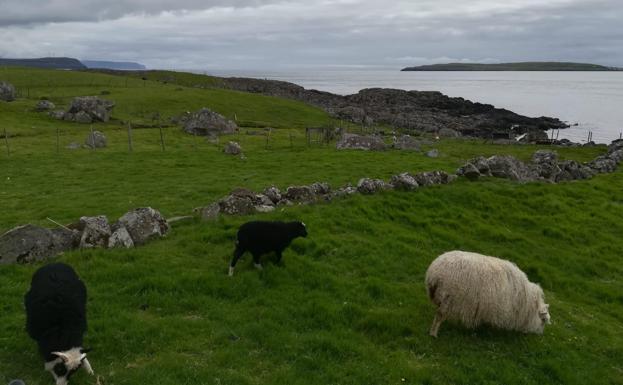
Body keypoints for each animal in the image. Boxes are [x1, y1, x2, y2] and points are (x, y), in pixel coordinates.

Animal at [424, 249, 552, 336]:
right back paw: (433, 333)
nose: (540, 334)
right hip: (448, 297)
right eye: (544, 320)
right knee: (439, 316)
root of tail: (434, 273)